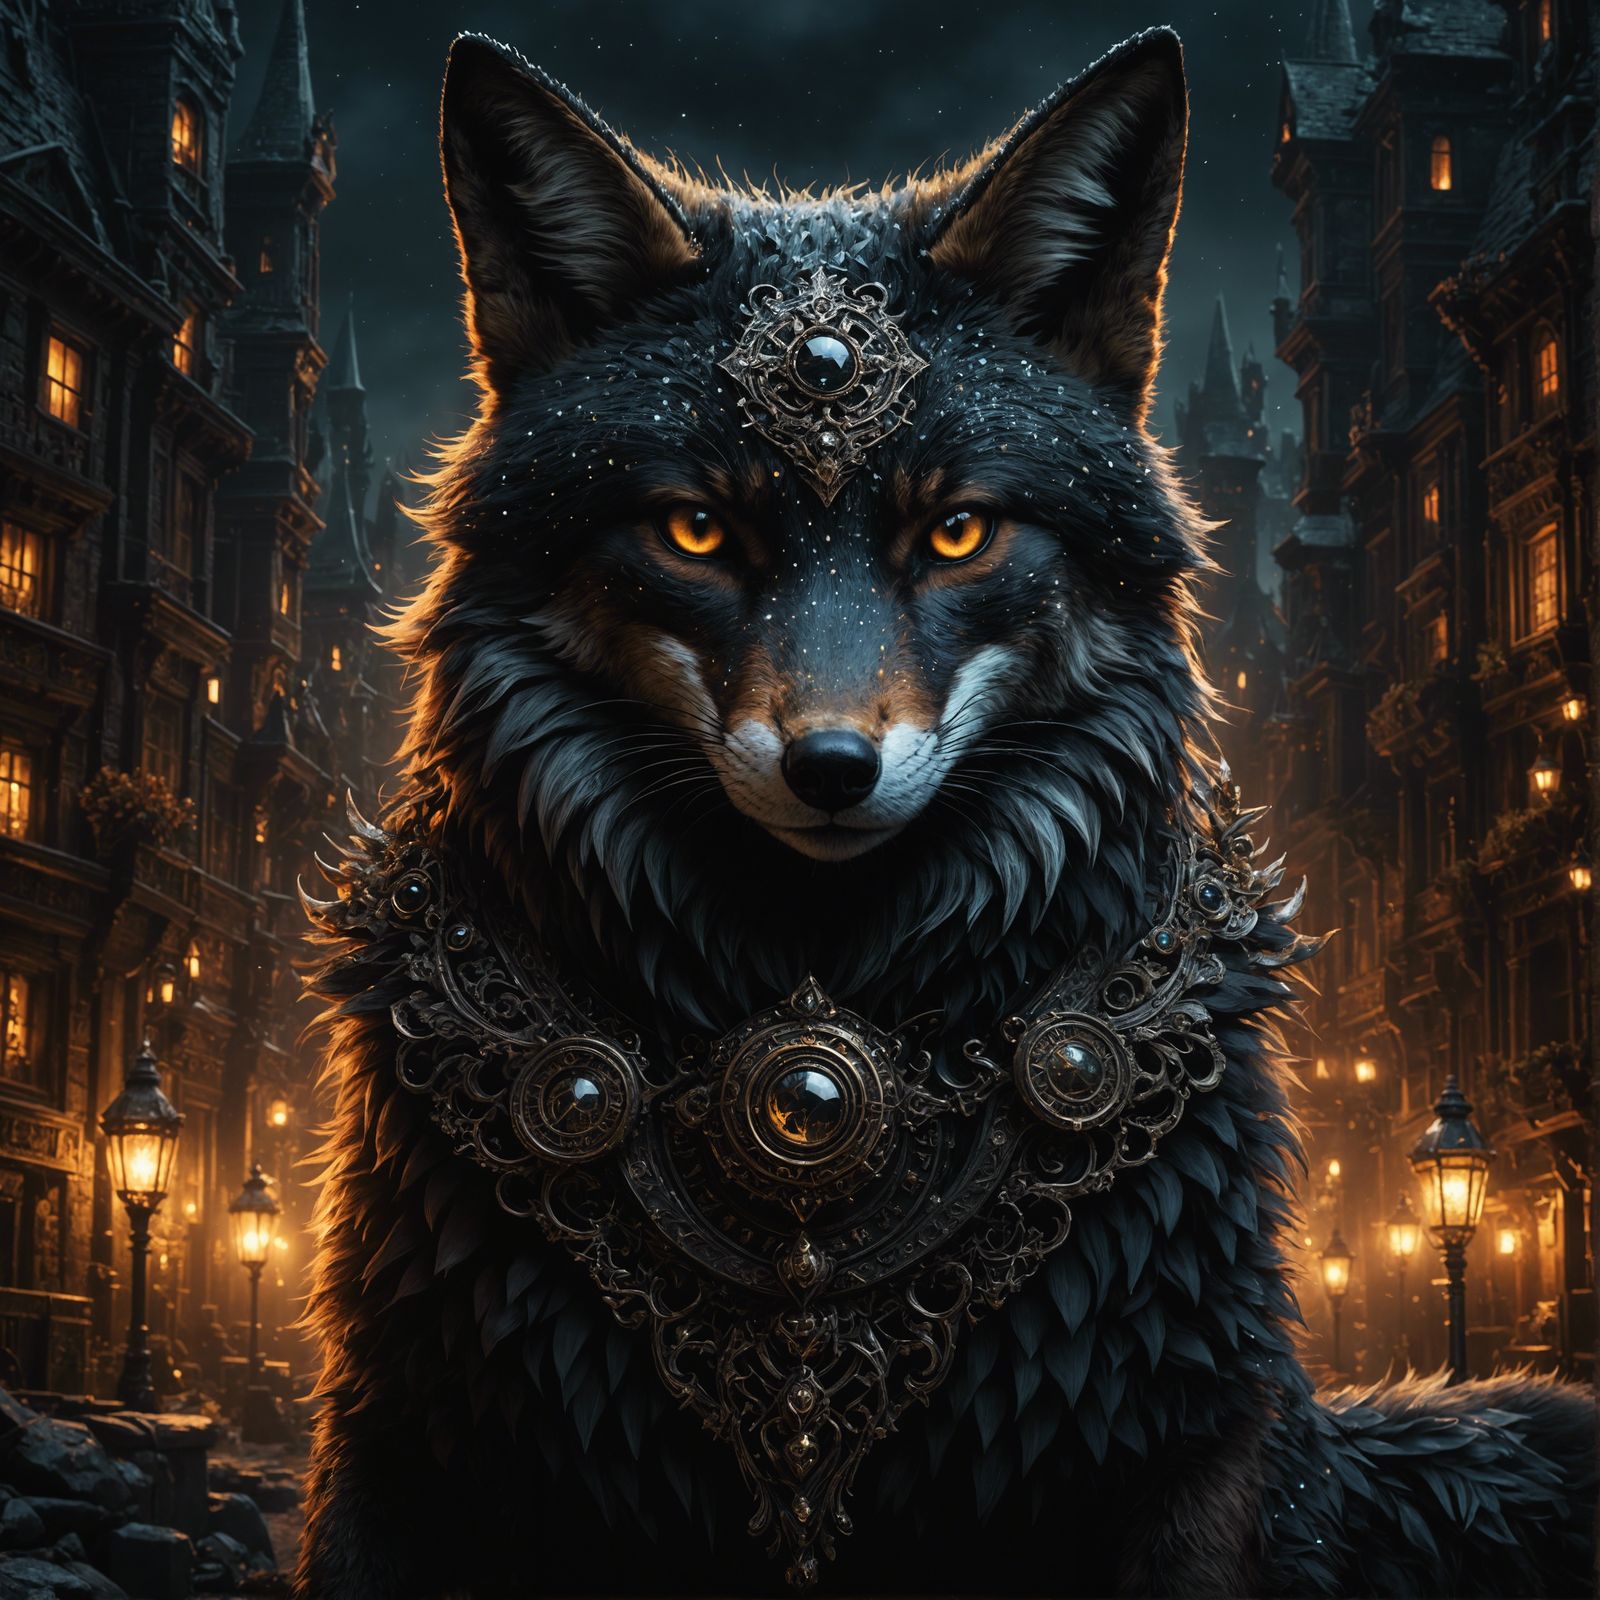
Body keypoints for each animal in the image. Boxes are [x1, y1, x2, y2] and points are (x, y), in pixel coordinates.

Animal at [297, 26, 1596, 1600]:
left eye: (959, 530)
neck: (818, 999)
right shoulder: (410, 1443)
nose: (831, 769)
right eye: (696, 530)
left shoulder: (1177, 1456)